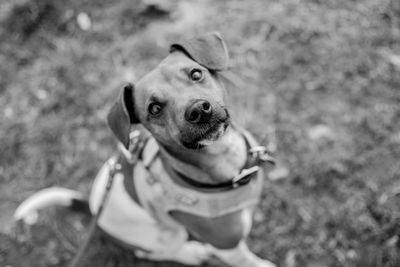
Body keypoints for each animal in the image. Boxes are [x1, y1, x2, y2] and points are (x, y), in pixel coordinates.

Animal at [14, 32, 276, 266]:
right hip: (164, 234)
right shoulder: (226, 245)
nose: (198, 110)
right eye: (155, 108)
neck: (225, 160)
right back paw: (192, 253)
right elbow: (247, 260)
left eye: (196, 74)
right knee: (153, 252)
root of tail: (92, 205)